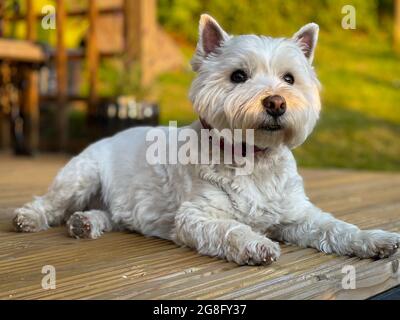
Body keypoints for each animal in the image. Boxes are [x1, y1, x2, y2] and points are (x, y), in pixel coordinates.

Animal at [14, 15, 398, 264]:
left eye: (289, 78)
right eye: (238, 76)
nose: (276, 102)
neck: (252, 158)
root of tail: (107, 137)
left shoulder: (297, 214)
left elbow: (335, 227)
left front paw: (374, 240)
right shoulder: (195, 216)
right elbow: (230, 228)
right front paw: (255, 244)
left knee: (107, 214)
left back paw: (86, 222)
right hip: (82, 176)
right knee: (50, 203)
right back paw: (29, 218)